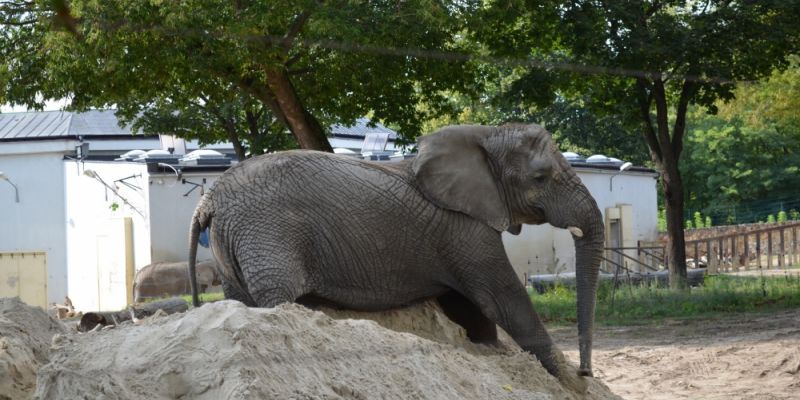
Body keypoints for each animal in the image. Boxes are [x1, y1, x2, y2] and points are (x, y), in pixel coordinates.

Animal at [188, 123, 600, 380]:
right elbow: (502, 299)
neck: (486, 134)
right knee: (278, 299)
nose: (585, 370)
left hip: (232, 241)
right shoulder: (464, 229)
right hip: (265, 233)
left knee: (239, 299)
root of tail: (208, 199)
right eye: (540, 178)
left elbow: (470, 309)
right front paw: (568, 382)